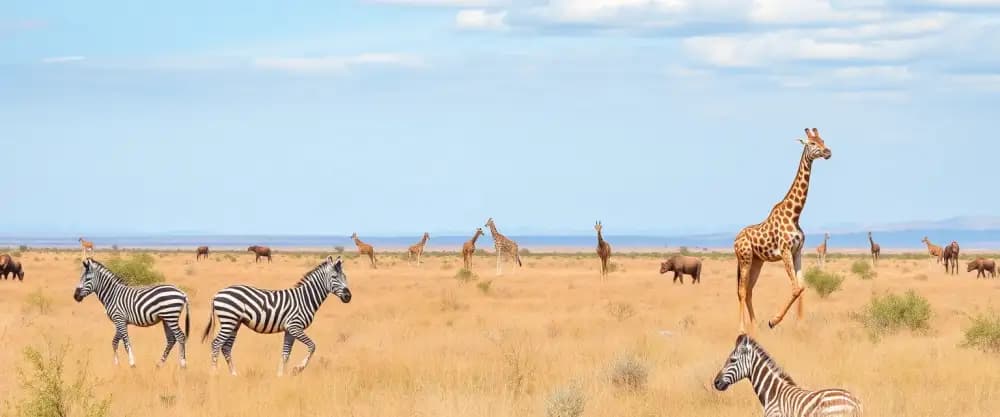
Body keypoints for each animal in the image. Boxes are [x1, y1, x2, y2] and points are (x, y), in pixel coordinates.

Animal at [199, 255, 352, 376]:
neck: (305, 298)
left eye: (345, 277)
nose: (348, 296)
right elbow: (312, 346)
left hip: (235, 323)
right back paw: (214, 373)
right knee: (216, 344)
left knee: (226, 347)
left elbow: (285, 354)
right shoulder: (295, 326)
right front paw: (298, 368)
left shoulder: (289, 330)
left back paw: (234, 374)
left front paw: (280, 376)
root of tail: (217, 294)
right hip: (229, 320)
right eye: (334, 277)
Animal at [732, 127, 832, 334]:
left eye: (823, 140)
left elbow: (802, 287)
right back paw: (743, 329)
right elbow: (795, 288)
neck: (795, 214)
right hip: (745, 259)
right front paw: (774, 321)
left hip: (757, 261)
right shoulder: (785, 251)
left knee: (750, 290)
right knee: (742, 290)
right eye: (812, 143)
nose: (828, 152)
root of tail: (735, 240)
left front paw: (801, 325)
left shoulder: (797, 251)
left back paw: (755, 325)